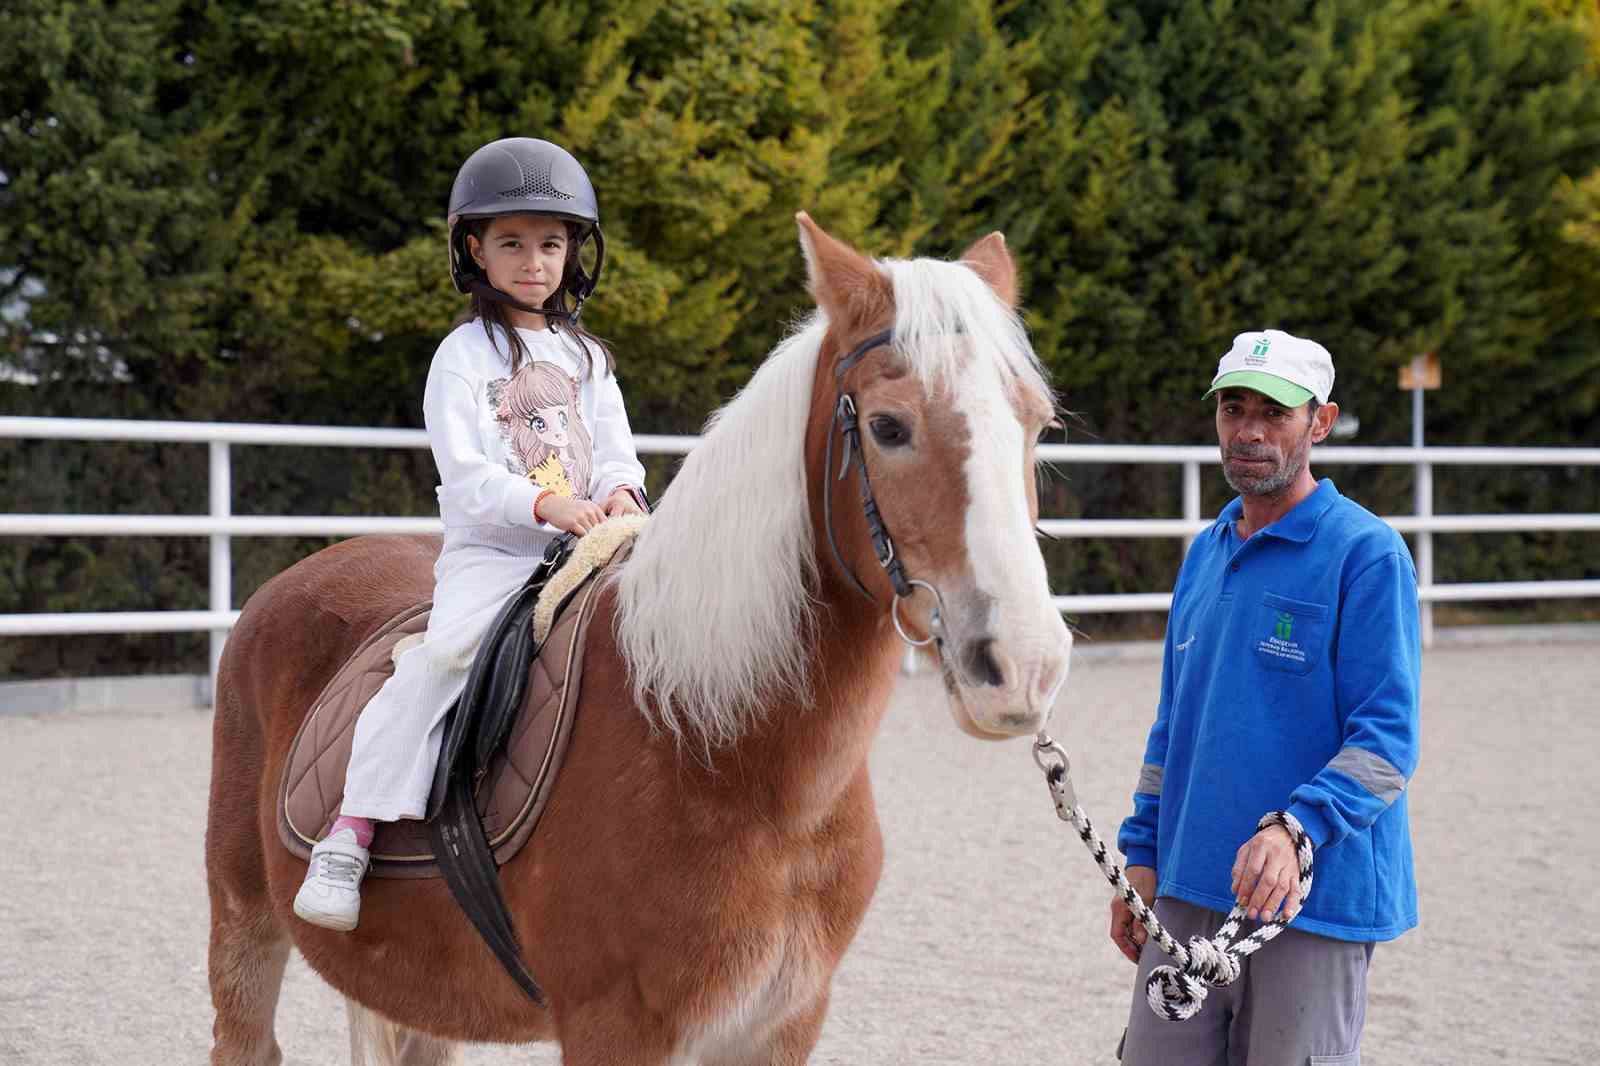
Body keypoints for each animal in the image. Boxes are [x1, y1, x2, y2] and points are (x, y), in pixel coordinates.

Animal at [203, 211, 1075, 1056]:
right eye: (890, 428)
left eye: (1037, 424)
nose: (1023, 664)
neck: (719, 749)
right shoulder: (615, 1026)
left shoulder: (782, 1024)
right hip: (243, 920)